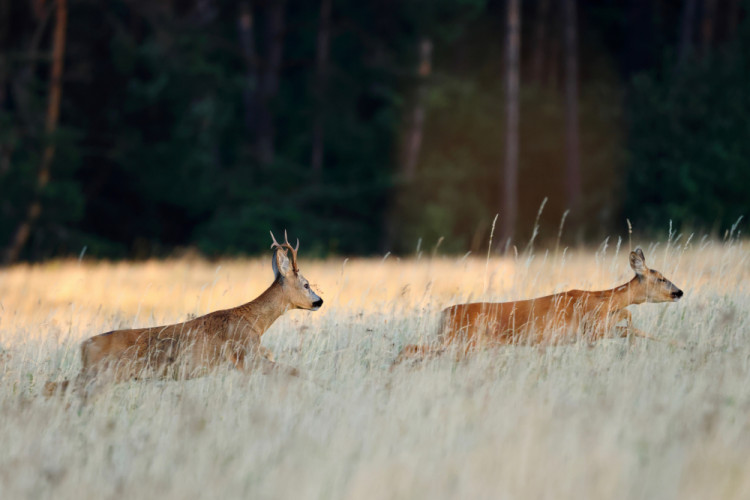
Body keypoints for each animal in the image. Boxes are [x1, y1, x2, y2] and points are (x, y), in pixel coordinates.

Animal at [44, 231, 324, 398]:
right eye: (306, 284)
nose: (319, 301)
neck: (254, 321)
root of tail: (84, 345)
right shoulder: (245, 355)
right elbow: (294, 371)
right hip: (102, 375)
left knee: (55, 387)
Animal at [396, 249, 684, 364]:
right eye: (661, 278)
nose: (679, 292)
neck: (603, 299)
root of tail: (444, 314)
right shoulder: (591, 329)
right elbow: (632, 327)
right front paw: (678, 345)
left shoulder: (595, 329)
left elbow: (630, 320)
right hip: (462, 341)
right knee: (410, 348)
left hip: (456, 342)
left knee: (412, 348)